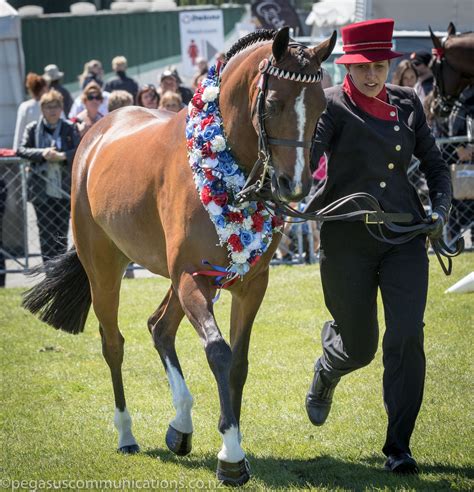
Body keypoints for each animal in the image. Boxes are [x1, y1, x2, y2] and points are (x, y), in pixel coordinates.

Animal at [21, 26, 334, 484]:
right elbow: (218, 353)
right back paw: (127, 434)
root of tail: (96, 135)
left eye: (321, 105)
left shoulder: (248, 284)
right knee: (113, 343)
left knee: (159, 328)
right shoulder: (191, 277)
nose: (294, 184)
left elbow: (238, 362)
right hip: (106, 268)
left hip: (176, 279)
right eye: (274, 102)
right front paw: (231, 455)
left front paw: (231, 443)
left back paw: (180, 426)